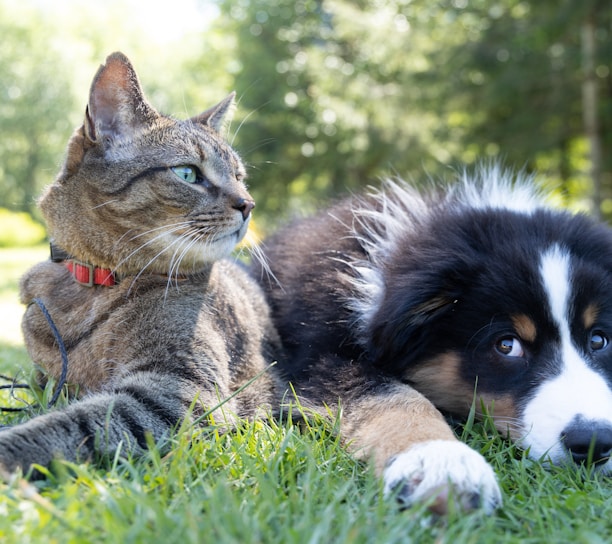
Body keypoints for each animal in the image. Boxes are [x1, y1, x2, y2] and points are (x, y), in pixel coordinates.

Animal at [0, 53, 282, 474]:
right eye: (187, 173)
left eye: (239, 176)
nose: (248, 203)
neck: (93, 285)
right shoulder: (41, 379)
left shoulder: (178, 391)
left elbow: (69, 424)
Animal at [251, 167, 608, 516]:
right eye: (507, 345)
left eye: (599, 339)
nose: (595, 442)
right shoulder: (318, 357)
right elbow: (393, 397)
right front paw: (442, 462)